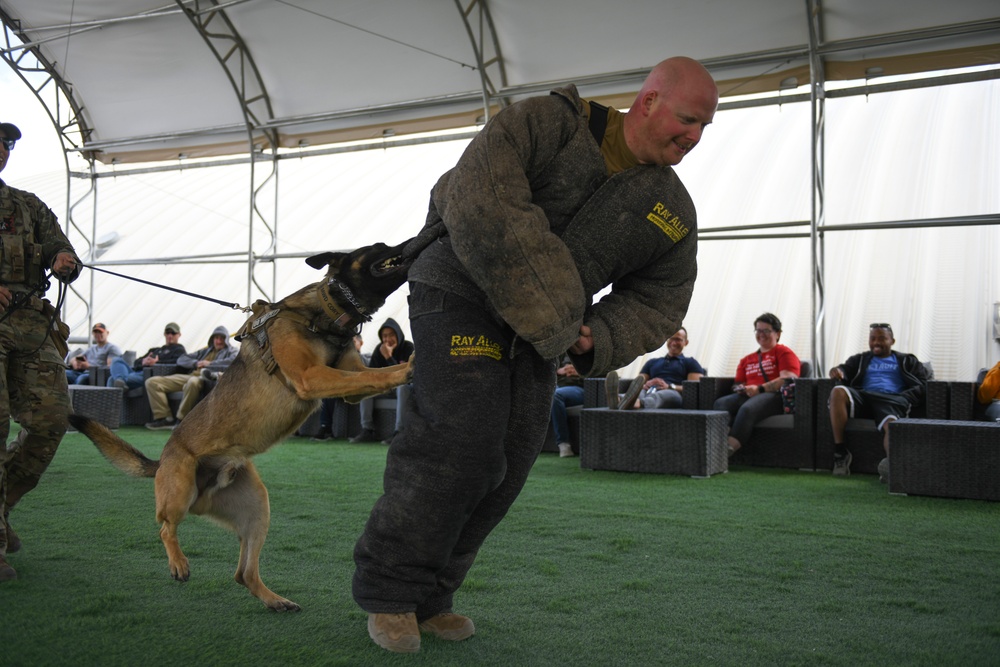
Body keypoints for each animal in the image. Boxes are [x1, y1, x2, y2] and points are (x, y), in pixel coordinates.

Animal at [66, 239, 416, 612]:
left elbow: (372, 376)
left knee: (243, 573)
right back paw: (178, 563)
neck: (325, 311)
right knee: (165, 528)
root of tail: (162, 461)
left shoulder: (350, 383)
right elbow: (378, 374)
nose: (412, 241)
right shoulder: (312, 376)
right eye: (379, 246)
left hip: (256, 507)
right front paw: (409, 366)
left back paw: (274, 599)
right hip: (180, 493)